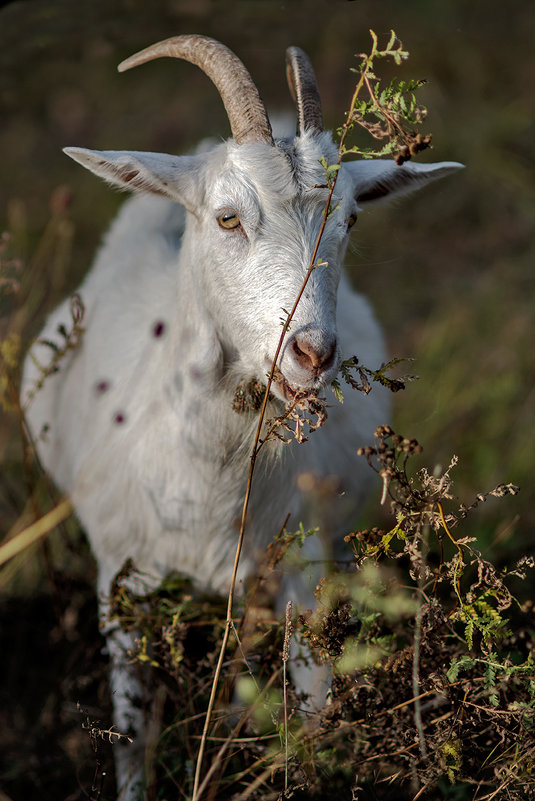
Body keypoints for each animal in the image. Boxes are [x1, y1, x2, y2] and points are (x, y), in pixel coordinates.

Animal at [23, 34, 462, 796]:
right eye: (228, 217)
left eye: (348, 219)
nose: (311, 353)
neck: (206, 486)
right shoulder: (120, 584)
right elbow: (131, 736)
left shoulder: (302, 572)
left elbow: (312, 712)